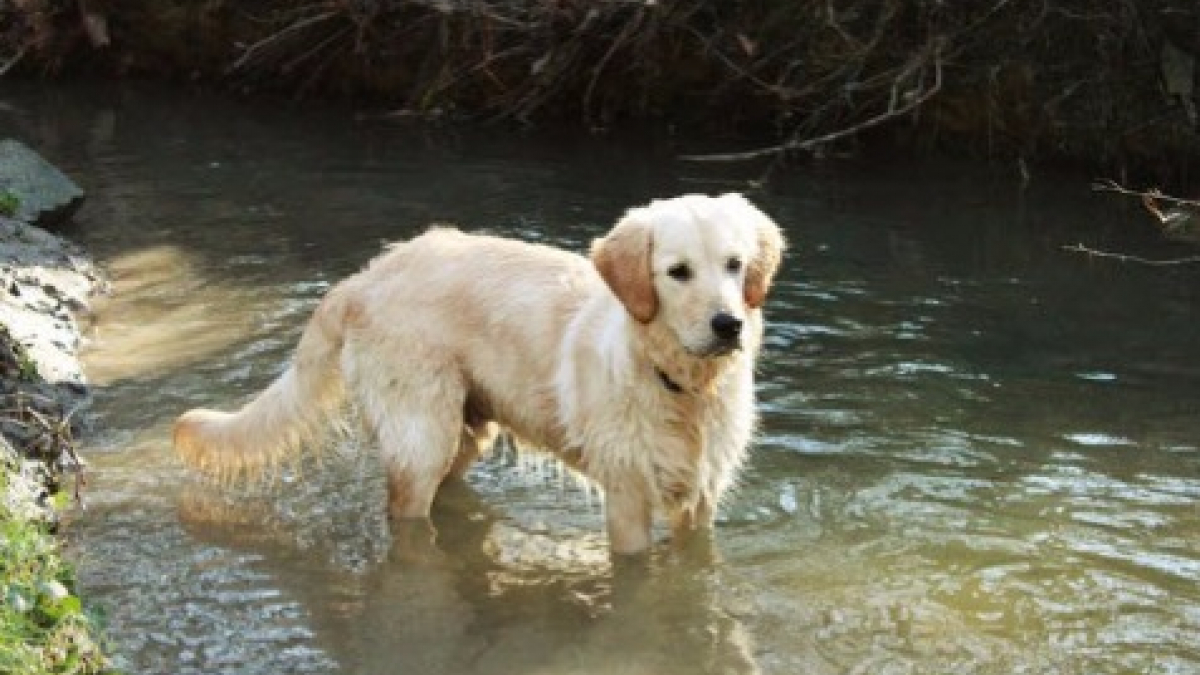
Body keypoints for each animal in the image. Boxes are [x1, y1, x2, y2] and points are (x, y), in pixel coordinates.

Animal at [171, 193, 787, 552]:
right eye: (677, 272)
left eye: (735, 265)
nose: (729, 324)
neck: (682, 386)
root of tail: (364, 276)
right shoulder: (628, 496)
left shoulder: (701, 500)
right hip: (422, 436)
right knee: (406, 511)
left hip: (469, 432)